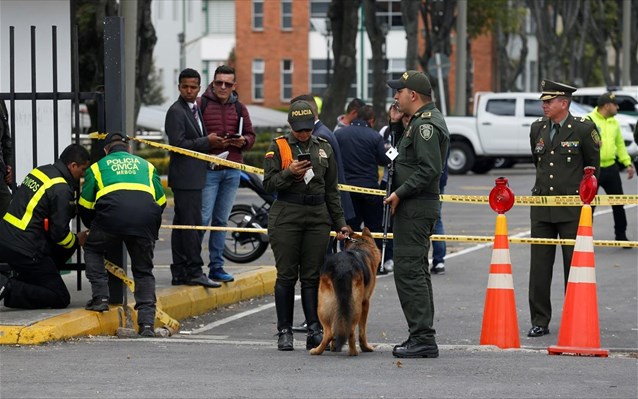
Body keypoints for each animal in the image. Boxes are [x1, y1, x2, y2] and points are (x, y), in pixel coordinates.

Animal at [312, 228, 382, 356]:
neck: (360, 245)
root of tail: (342, 266)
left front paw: (334, 346)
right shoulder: (365, 303)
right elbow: (362, 331)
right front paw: (365, 347)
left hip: (324, 304)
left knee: (329, 332)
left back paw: (318, 350)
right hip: (355, 306)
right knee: (351, 330)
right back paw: (353, 352)